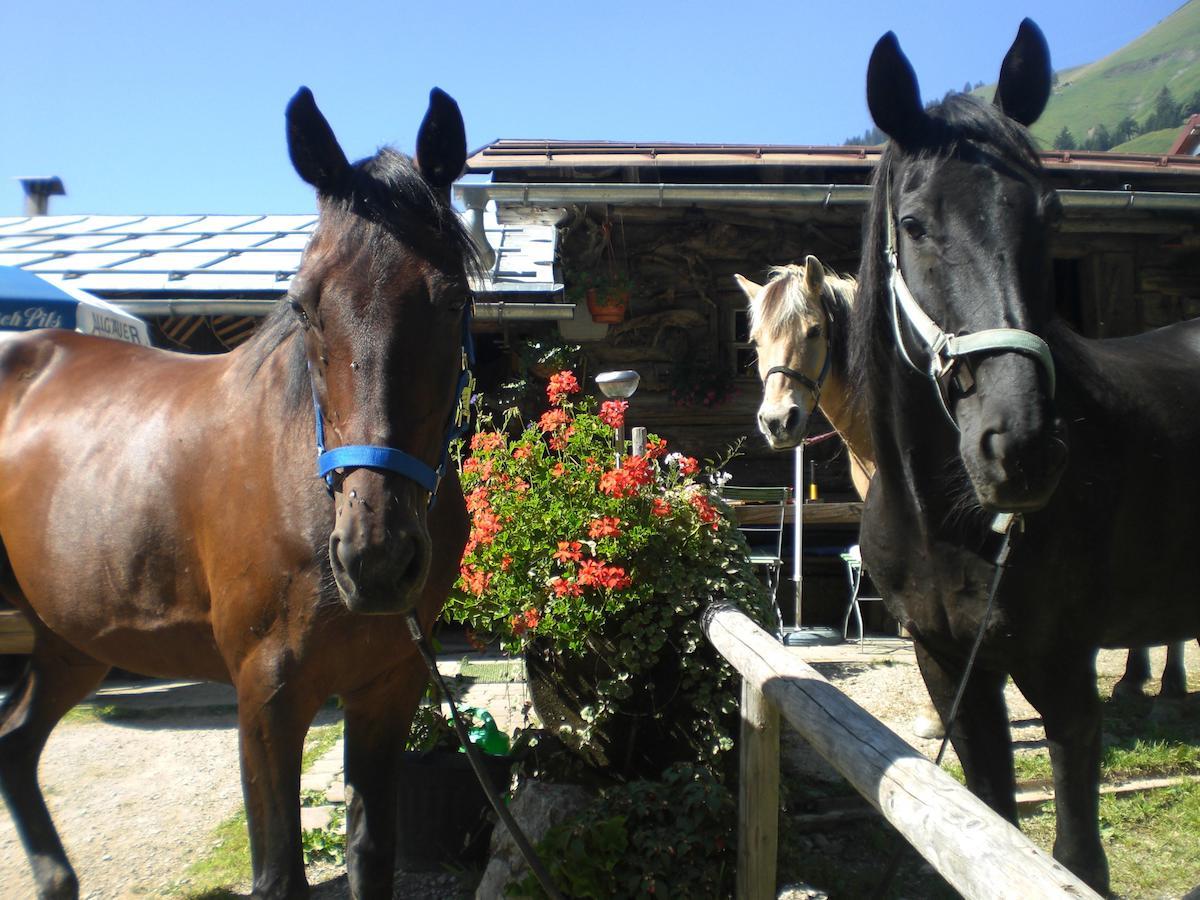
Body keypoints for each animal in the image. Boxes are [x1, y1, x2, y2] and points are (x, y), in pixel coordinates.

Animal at [0, 86, 477, 900]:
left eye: (451, 301)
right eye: (306, 304)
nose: (375, 557)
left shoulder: (386, 689)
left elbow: (372, 854)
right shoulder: (265, 700)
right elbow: (279, 874)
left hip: (70, 641)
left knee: (14, 743)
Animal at [854, 19, 1200, 897]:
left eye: (1049, 215)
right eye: (915, 224)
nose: (1022, 448)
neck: (946, 521)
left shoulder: (1062, 671)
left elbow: (1075, 861)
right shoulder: (951, 666)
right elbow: (992, 816)